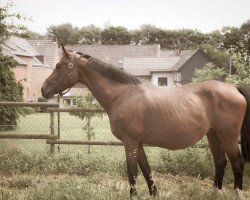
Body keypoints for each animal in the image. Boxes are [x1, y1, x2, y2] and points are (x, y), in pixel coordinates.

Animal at [41, 44, 250, 198]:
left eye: (59, 66)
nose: (44, 90)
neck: (123, 95)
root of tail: (233, 88)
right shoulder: (138, 143)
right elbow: (146, 170)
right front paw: (154, 193)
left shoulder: (130, 142)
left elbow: (132, 172)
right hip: (213, 135)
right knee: (220, 162)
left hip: (229, 136)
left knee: (237, 163)